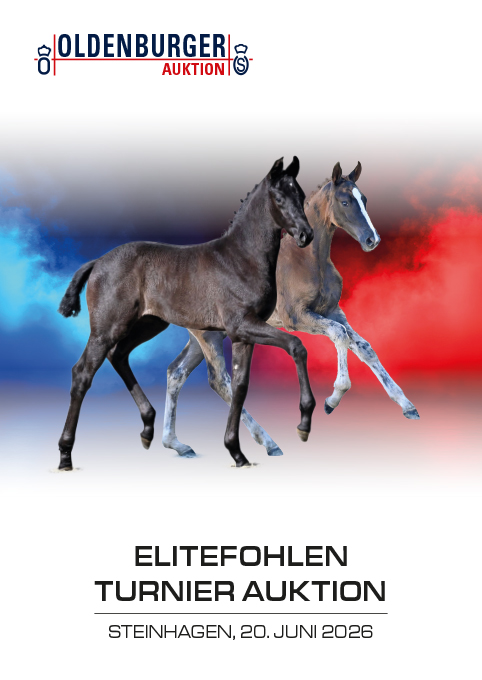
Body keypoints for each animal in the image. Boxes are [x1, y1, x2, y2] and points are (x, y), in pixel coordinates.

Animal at [57, 157, 315, 470]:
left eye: (300, 195)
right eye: (279, 198)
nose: (306, 235)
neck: (242, 258)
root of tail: (97, 262)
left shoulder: (242, 335)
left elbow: (240, 386)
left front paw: (237, 451)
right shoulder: (242, 325)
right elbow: (296, 345)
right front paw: (304, 422)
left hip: (150, 324)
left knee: (118, 355)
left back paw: (148, 427)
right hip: (107, 328)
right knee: (82, 372)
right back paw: (66, 454)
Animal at [160, 161, 420, 459]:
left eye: (364, 199)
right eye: (345, 201)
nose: (372, 240)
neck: (308, 260)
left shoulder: (333, 311)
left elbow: (364, 346)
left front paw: (406, 404)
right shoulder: (297, 317)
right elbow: (339, 335)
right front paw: (333, 399)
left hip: (206, 334)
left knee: (176, 372)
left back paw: (176, 444)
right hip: (209, 337)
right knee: (220, 380)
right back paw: (267, 442)